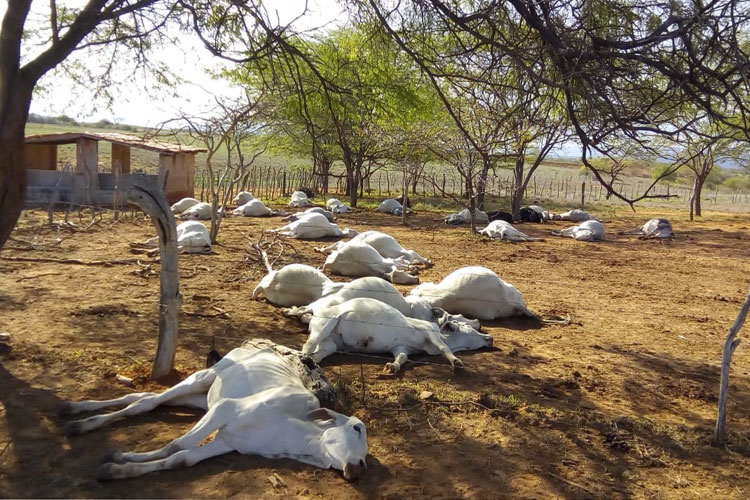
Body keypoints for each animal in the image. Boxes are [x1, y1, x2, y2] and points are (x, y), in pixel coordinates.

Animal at [60, 348, 368, 480]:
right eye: (356, 428)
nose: (358, 468)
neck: (288, 432)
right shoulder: (226, 409)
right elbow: (177, 445)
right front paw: (120, 458)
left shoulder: (227, 443)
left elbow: (180, 459)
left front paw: (119, 466)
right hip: (202, 378)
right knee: (147, 404)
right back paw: (80, 421)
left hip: (201, 399)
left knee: (146, 398)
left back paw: (76, 410)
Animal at [302, 296, 496, 372]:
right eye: (469, 330)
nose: (490, 338)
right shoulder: (430, 332)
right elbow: (444, 348)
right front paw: (456, 361)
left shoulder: (400, 347)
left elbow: (402, 358)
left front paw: (392, 367)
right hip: (325, 324)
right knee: (307, 345)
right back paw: (304, 357)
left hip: (330, 344)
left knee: (318, 353)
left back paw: (311, 362)